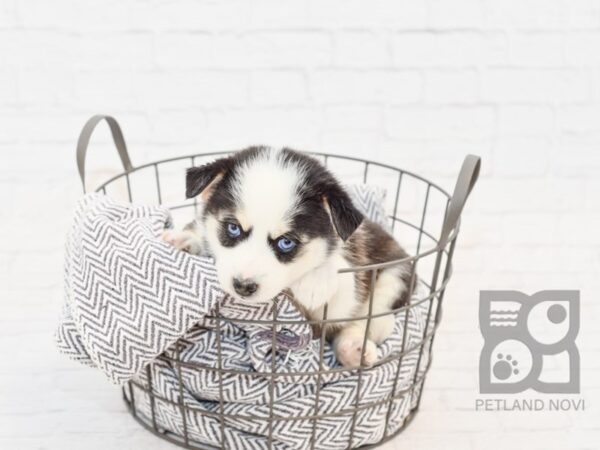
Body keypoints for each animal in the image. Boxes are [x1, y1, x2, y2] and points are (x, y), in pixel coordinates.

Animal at [163, 148, 412, 370]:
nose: (243, 287)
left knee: (373, 318)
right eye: (233, 228)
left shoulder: (341, 300)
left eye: (286, 242)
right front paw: (184, 238)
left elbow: (341, 285)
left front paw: (317, 276)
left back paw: (354, 346)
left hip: (396, 272)